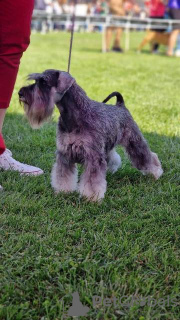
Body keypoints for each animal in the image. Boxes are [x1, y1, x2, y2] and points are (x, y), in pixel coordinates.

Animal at [18, 69, 163, 200]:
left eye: (43, 82)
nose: (20, 93)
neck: (75, 116)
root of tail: (121, 105)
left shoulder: (93, 157)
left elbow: (92, 181)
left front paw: (91, 198)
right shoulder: (65, 154)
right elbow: (63, 176)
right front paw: (63, 191)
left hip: (134, 143)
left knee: (148, 156)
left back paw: (156, 173)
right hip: (106, 146)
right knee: (114, 157)